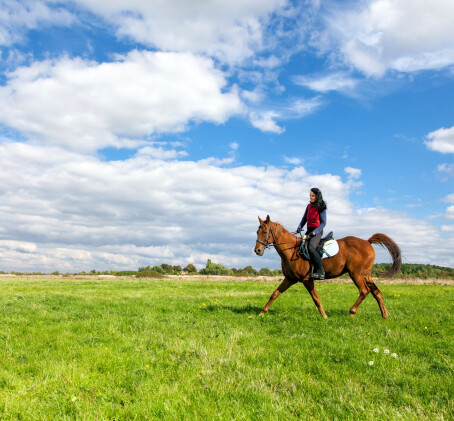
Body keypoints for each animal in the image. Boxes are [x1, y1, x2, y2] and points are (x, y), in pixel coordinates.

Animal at [255, 215, 400, 316]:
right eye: (257, 232)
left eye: (265, 232)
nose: (257, 251)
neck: (291, 250)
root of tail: (367, 241)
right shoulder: (290, 279)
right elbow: (274, 294)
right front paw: (262, 313)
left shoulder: (307, 280)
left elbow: (316, 298)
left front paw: (324, 316)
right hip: (366, 275)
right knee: (376, 292)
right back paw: (385, 315)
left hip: (356, 274)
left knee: (364, 291)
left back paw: (352, 311)